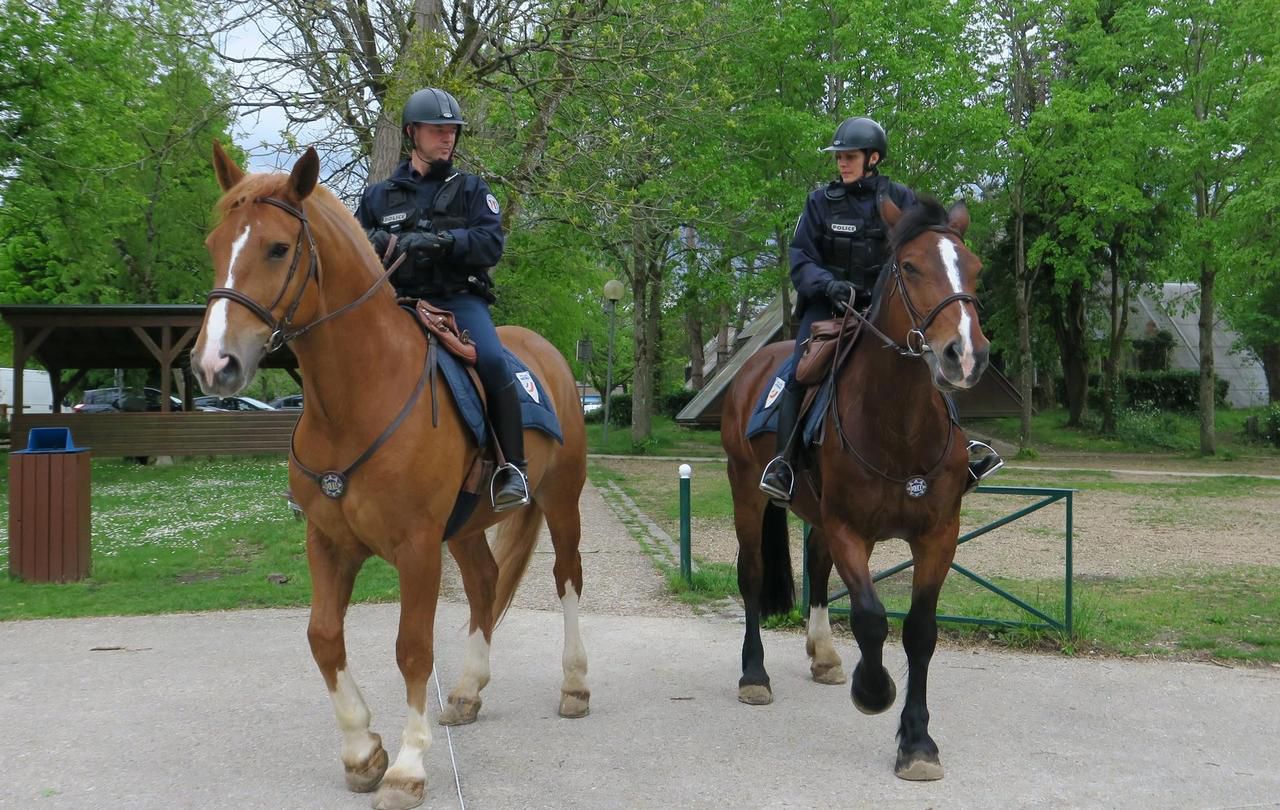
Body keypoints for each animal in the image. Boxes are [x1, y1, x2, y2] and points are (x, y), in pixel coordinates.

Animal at [192, 145, 591, 808]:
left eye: (277, 248)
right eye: (214, 244)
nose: (214, 364)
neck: (355, 401)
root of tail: (550, 357)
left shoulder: (416, 547)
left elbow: (412, 649)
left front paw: (407, 767)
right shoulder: (329, 541)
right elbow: (324, 636)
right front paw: (362, 751)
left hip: (562, 503)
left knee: (567, 580)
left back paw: (575, 684)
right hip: (466, 527)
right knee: (485, 584)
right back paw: (468, 690)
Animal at [727, 194, 983, 778]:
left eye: (975, 267)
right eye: (909, 267)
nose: (964, 353)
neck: (900, 421)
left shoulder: (939, 535)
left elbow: (920, 631)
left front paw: (917, 742)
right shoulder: (849, 528)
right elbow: (869, 618)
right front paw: (874, 690)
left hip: (817, 515)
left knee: (818, 570)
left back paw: (823, 655)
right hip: (748, 496)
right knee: (752, 576)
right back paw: (754, 675)